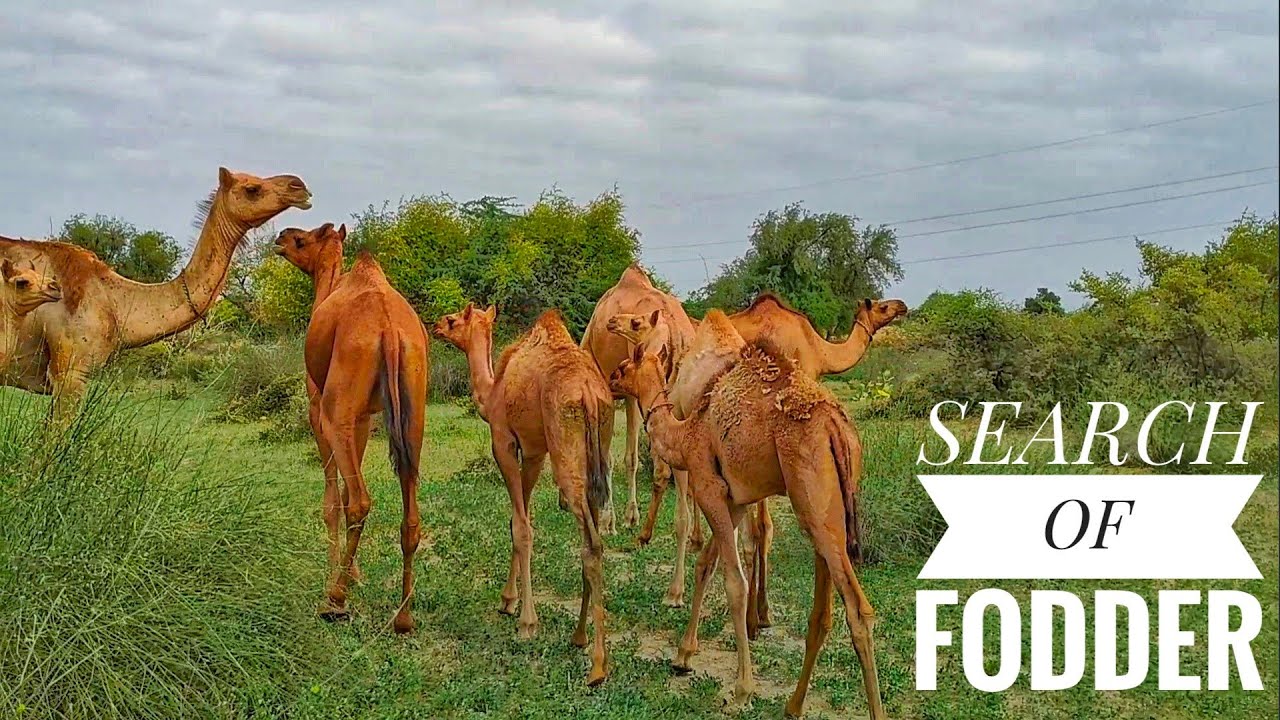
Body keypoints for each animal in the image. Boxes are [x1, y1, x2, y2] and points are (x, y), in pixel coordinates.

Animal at [274, 222, 429, 634]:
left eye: (301, 240)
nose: (279, 238)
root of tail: (389, 330)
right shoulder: (364, 417)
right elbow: (345, 488)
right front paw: (355, 572)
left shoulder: (318, 408)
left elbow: (332, 499)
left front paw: (336, 575)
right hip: (413, 412)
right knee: (408, 508)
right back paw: (403, 615)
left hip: (335, 409)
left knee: (361, 500)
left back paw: (334, 599)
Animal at [432, 304, 613, 687]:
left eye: (454, 320)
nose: (436, 325)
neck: (493, 391)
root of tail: (590, 394)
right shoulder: (533, 452)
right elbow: (520, 520)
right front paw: (508, 601)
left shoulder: (503, 440)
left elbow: (521, 527)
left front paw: (526, 622)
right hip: (598, 450)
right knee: (595, 534)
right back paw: (578, 636)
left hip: (565, 448)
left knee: (590, 543)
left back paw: (597, 667)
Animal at [581, 263, 697, 540]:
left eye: (635, 322)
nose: (612, 323)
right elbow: (631, 457)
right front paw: (629, 518)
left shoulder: (611, 393)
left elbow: (610, 457)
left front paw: (608, 522)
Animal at [608, 311, 886, 719]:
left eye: (625, 366)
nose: (610, 380)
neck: (685, 431)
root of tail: (836, 428)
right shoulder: (736, 499)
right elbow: (706, 563)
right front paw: (683, 655)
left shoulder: (708, 486)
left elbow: (734, 583)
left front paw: (741, 690)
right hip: (828, 507)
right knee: (823, 610)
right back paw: (793, 704)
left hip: (811, 499)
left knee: (857, 608)